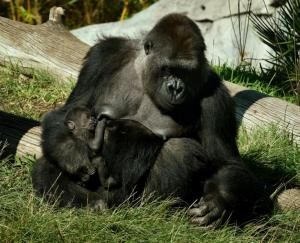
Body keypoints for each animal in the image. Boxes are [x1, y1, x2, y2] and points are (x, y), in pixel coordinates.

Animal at [38, 13, 270, 226]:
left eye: (185, 72)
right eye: (167, 68)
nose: (176, 88)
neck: (144, 73)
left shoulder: (215, 96)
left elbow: (225, 162)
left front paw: (217, 201)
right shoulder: (104, 54)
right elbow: (70, 110)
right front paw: (70, 152)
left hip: (131, 200)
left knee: (180, 150)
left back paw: (155, 212)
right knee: (48, 164)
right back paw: (89, 204)